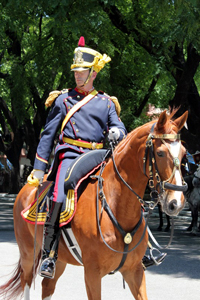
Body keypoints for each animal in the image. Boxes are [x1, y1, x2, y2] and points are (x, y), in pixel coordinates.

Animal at [0, 110, 188, 300]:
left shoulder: (134, 271)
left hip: (60, 259)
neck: (116, 206)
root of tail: (25, 190)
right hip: (28, 253)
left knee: (48, 285)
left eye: (184, 153)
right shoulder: (92, 273)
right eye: (160, 153)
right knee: (26, 281)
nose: (176, 203)